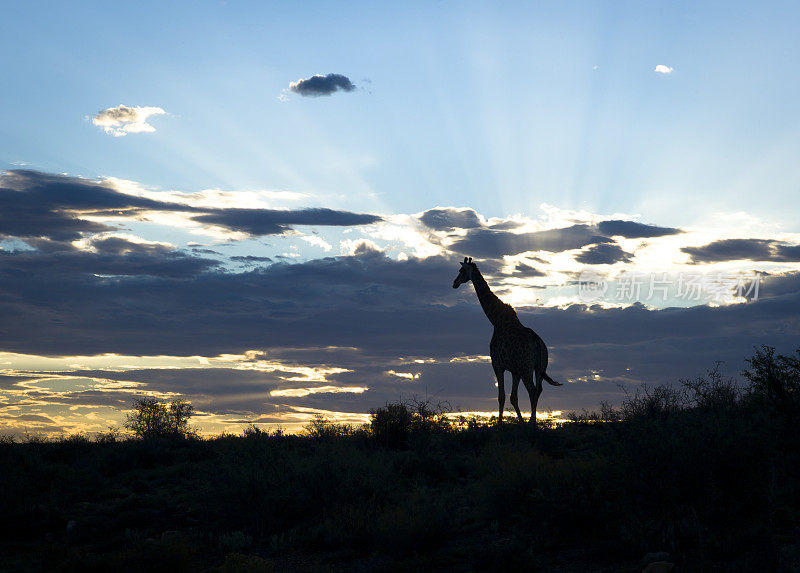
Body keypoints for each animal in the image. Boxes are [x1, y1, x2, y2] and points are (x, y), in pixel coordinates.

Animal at [450, 256, 564, 422]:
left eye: (461, 270)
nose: (454, 283)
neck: (495, 319)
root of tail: (538, 342)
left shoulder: (497, 364)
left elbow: (501, 396)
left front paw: (500, 423)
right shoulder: (514, 370)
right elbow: (513, 397)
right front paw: (521, 422)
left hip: (526, 367)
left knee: (532, 390)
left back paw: (532, 423)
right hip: (539, 367)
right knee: (539, 389)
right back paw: (532, 421)